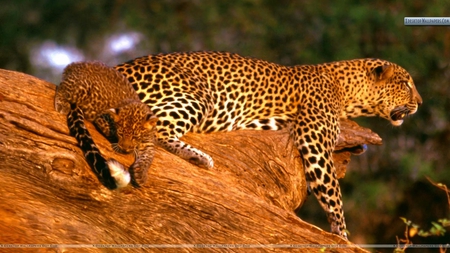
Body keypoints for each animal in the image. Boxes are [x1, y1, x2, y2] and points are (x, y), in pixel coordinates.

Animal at [113, 50, 422, 238]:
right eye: (406, 83)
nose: (420, 103)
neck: (346, 90)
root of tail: (117, 68)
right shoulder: (315, 141)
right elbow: (333, 193)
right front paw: (343, 236)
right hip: (197, 95)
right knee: (155, 130)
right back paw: (198, 157)